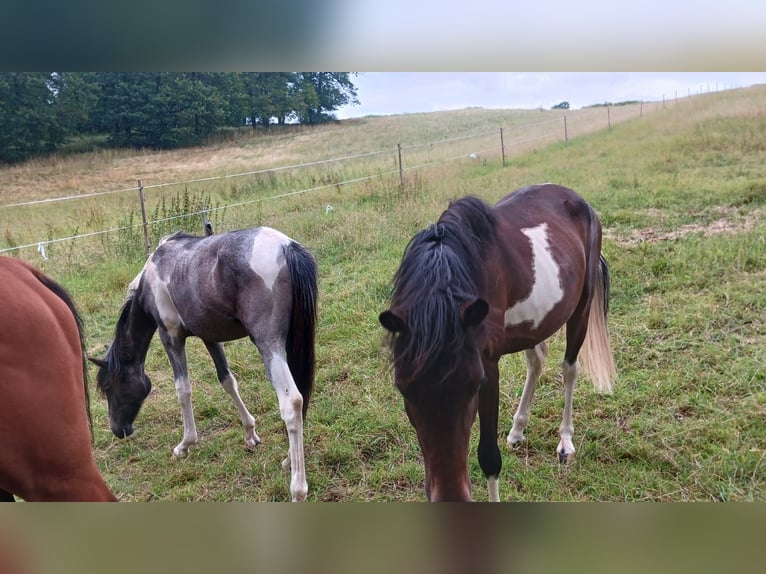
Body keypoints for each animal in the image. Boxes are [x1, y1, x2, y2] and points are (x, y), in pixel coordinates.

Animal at [90, 227, 318, 502]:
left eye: (109, 387)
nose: (118, 429)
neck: (151, 277)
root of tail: (286, 247)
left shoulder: (171, 336)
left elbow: (183, 390)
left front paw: (185, 445)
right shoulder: (210, 336)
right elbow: (228, 381)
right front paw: (250, 434)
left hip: (269, 345)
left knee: (292, 403)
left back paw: (298, 489)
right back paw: (288, 461)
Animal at [380, 184, 620, 504]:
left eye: (473, 386)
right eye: (403, 389)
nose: (451, 498)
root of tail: (579, 200)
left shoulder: (488, 367)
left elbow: (488, 456)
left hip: (581, 308)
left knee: (570, 368)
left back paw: (565, 441)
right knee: (537, 360)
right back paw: (517, 430)